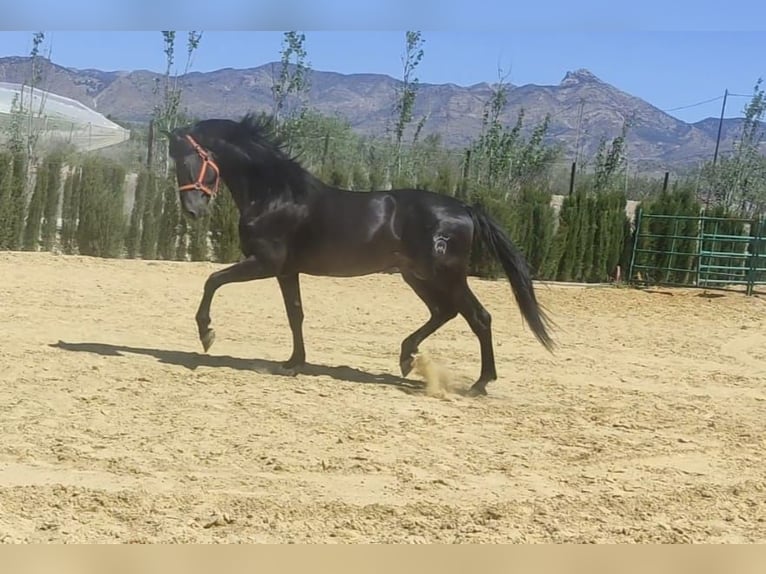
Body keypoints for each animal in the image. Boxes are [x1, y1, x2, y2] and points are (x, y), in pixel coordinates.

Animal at [165, 115, 556, 398]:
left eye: (192, 160)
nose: (193, 210)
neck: (277, 195)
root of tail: (464, 208)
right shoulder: (287, 271)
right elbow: (295, 315)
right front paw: (293, 363)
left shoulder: (265, 264)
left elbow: (212, 280)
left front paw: (206, 334)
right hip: (417, 275)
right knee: (443, 311)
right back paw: (407, 357)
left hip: (446, 275)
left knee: (478, 317)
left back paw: (479, 383)